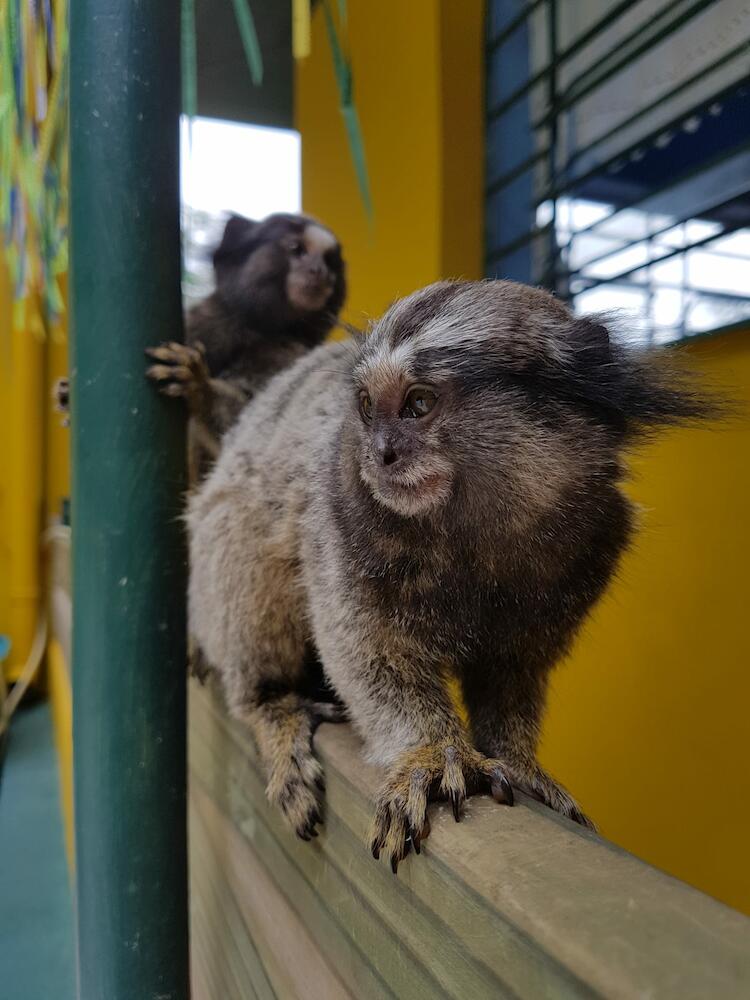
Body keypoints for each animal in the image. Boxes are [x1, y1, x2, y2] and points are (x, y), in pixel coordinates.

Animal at [145, 212, 348, 480]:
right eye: (297, 249)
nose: (320, 272)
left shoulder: (288, 353)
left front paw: (201, 389)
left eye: (330, 261)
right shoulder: (206, 321)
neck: (253, 330)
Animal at [187, 280, 716, 868]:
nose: (381, 453)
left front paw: (519, 761)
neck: (478, 528)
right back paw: (274, 708)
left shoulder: (592, 544)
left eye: (418, 404)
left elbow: (514, 671)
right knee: (245, 539)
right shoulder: (339, 520)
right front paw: (433, 753)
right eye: (367, 408)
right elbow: (364, 648)